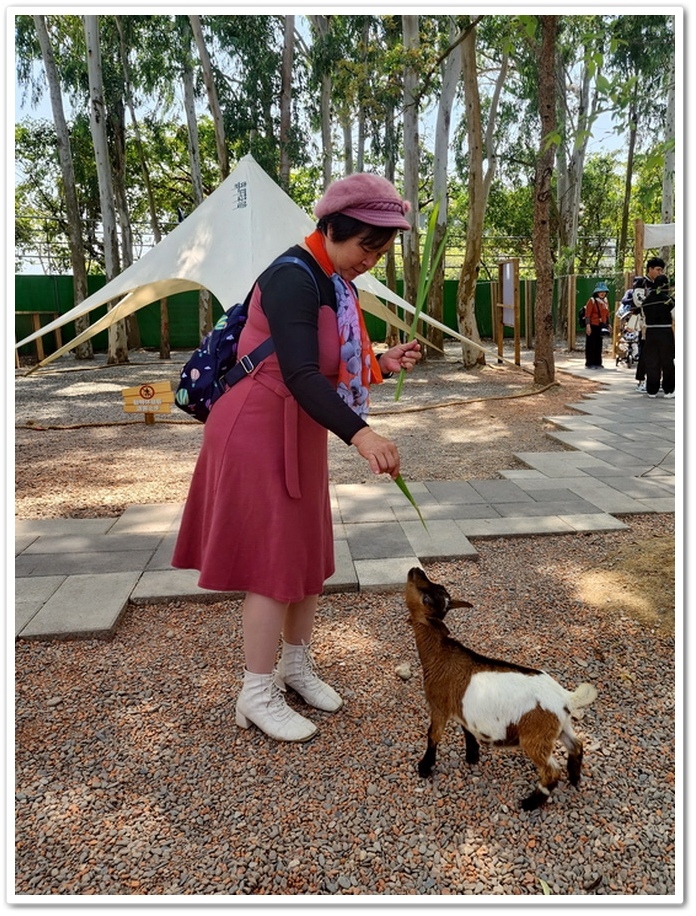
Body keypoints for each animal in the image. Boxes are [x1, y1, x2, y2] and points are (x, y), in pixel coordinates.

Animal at [408, 568, 600, 812]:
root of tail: (565, 697)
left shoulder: (439, 706)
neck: (439, 656)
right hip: (561, 726)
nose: (415, 570)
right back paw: (574, 779)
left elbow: (432, 735)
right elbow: (467, 731)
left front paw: (425, 767)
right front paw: (472, 756)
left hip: (535, 738)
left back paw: (530, 803)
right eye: (438, 588)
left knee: (550, 771)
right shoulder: (463, 711)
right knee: (577, 745)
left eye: (426, 599)